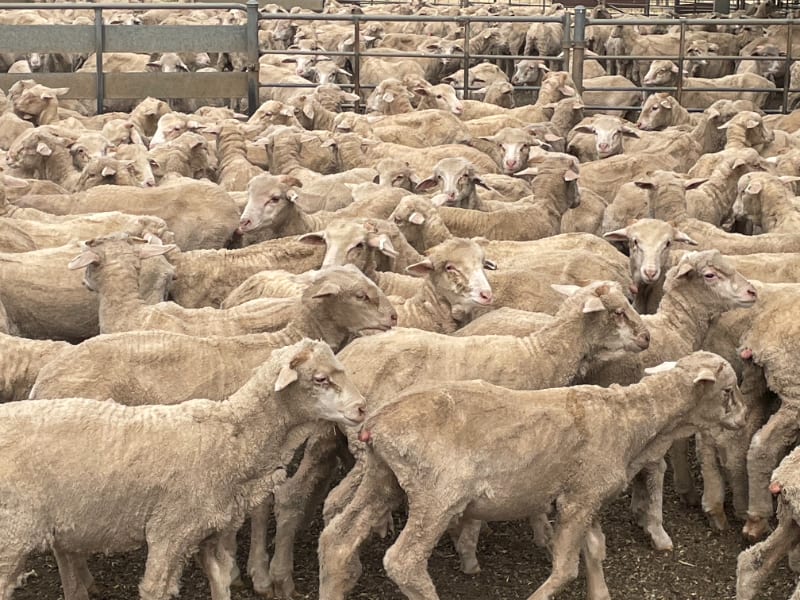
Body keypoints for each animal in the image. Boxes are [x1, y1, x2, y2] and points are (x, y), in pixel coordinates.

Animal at [1, 338, 365, 600]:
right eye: (320, 379)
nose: (362, 407)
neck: (231, 436)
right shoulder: (169, 532)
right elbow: (155, 589)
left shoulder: (209, 533)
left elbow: (221, 581)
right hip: (13, 533)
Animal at [319, 351, 743, 600]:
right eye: (728, 389)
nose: (742, 420)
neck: (631, 421)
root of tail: (377, 422)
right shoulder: (580, 498)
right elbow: (566, 567)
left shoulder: (586, 495)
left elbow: (594, 550)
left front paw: (599, 593)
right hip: (437, 493)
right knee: (403, 561)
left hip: (383, 477)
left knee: (337, 540)